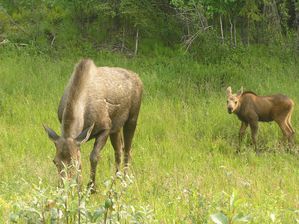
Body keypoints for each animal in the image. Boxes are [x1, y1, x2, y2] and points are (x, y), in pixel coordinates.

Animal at [43, 58, 144, 190]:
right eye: (55, 161)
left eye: (72, 162)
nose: (62, 186)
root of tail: (138, 78)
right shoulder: (80, 138)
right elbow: (81, 160)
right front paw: (79, 187)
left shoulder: (105, 127)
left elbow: (93, 156)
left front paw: (91, 187)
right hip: (116, 127)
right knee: (119, 150)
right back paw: (114, 182)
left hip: (132, 118)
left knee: (127, 150)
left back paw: (124, 182)